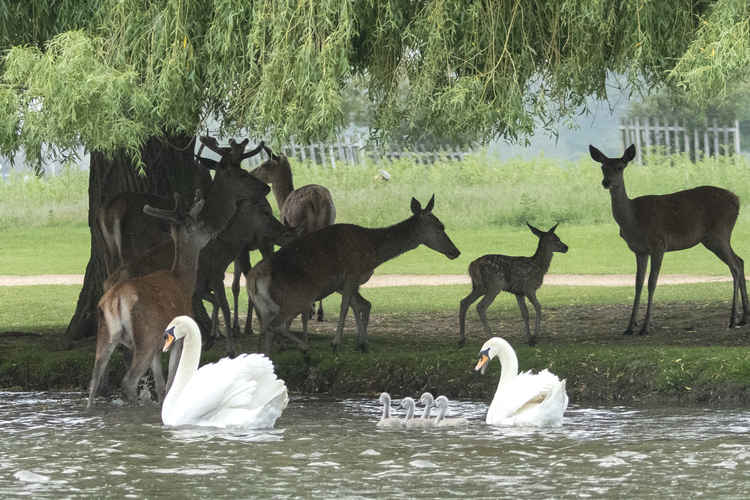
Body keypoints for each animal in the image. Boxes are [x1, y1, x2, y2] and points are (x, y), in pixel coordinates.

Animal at [88, 158, 270, 408]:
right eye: (241, 174)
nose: (265, 188)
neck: (181, 279)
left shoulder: (160, 346)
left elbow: (162, 384)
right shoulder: (182, 330)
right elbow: (172, 379)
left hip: (107, 335)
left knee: (94, 381)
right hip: (145, 337)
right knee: (128, 379)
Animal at [247, 195, 462, 356]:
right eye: (440, 226)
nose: (456, 251)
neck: (372, 252)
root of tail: (253, 280)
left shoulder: (347, 281)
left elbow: (358, 305)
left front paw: (362, 343)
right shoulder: (352, 272)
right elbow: (346, 307)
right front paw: (337, 343)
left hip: (265, 307)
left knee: (266, 331)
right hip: (296, 298)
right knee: (277, 325)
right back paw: (303, 347)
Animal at [592, 143, 748, 334]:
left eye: (620, 167)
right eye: (603, 167)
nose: (606, 182)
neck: (633, 220)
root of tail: (738, 200)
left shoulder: (659, 244)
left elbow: (652, 282)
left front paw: (645, 327)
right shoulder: (639, 251)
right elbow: (637, 284)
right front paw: (629, 327)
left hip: (719, 233)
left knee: (734, 266)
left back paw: (732, 319)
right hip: (716, 238)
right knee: (740, 261)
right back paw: (743, 318)